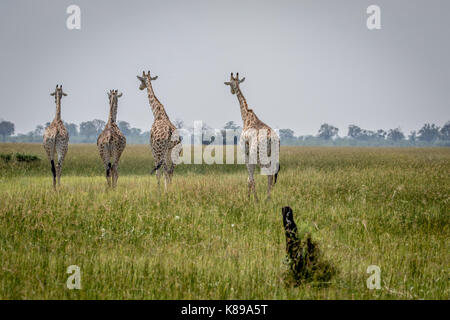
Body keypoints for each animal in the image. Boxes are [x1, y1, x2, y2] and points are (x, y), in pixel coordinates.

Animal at [223, 72, 280, 200]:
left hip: (261, 157)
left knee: (268, 175)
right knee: (271, 176)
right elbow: (250, 178)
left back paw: (263, 199)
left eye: (230, 83)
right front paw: (250, 198)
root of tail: (272, 139)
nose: (232, 91)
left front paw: (250, 199)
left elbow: (250, 178)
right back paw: (268, 198)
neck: (246, 118)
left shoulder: (246, 153)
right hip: (274, 156)